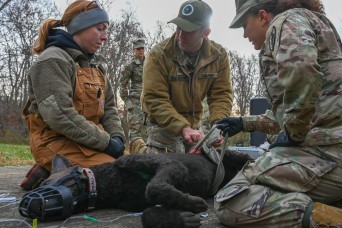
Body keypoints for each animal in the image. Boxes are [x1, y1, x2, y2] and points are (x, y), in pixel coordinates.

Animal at [20, 151, 252, 227]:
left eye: (46, 184)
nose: (27, 206)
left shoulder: (171, 165)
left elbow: (154, 187)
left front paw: (191, 202)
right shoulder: (136, 205)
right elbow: (147, 214)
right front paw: (180, 218)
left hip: (233, 156)